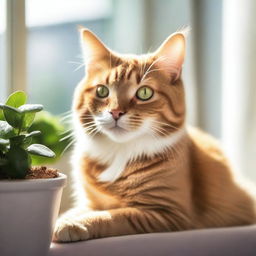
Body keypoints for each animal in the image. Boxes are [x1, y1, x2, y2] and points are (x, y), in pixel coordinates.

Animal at [52, 28, 256, 242]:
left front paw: (74, 224)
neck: (119, 152)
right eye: (102, 91)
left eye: (144, 93)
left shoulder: (165, 212)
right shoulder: (89, 202)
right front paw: (64, 220)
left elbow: (111, 215)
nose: (115, 112)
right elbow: (74, 211)